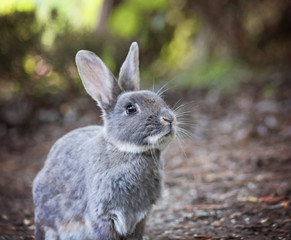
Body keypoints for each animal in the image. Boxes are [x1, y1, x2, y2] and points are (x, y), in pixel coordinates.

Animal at [32, 42, 177, 239]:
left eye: (159, 99)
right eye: (130, 109)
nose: (169, 119)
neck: (125, 150)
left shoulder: (139, 217)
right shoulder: (101, 214)